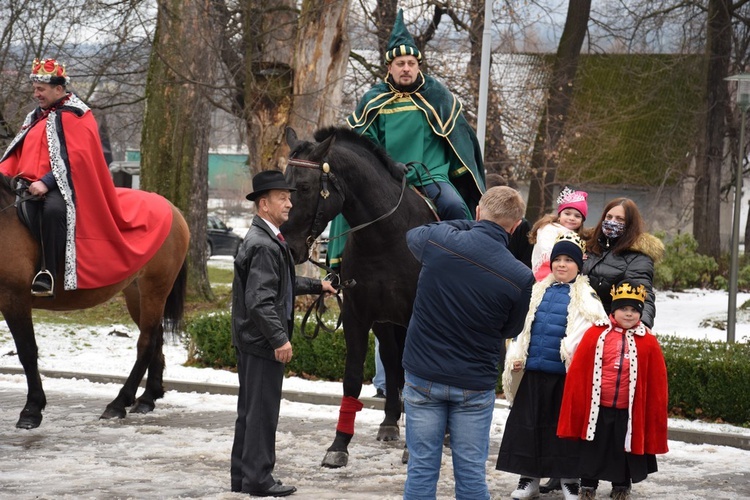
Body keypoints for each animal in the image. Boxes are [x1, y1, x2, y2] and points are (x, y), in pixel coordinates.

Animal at [0, 174, 188, 428]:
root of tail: (171, 208)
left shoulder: (14, 297)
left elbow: (27, 351)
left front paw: (31, 410)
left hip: (155, 289)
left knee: (147, 342)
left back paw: (118, 403)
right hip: (136, 293)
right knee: (156, 336)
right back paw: (148, 398)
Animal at [282, 127, 434, 466]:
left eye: (305, 186)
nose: (289, 246)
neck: (388, 236)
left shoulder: (416, 318)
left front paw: (414, 448)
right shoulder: (358, 315)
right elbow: (352, 378)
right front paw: (339, 444)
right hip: (385, 322)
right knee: (391, 361)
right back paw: (390, 421)